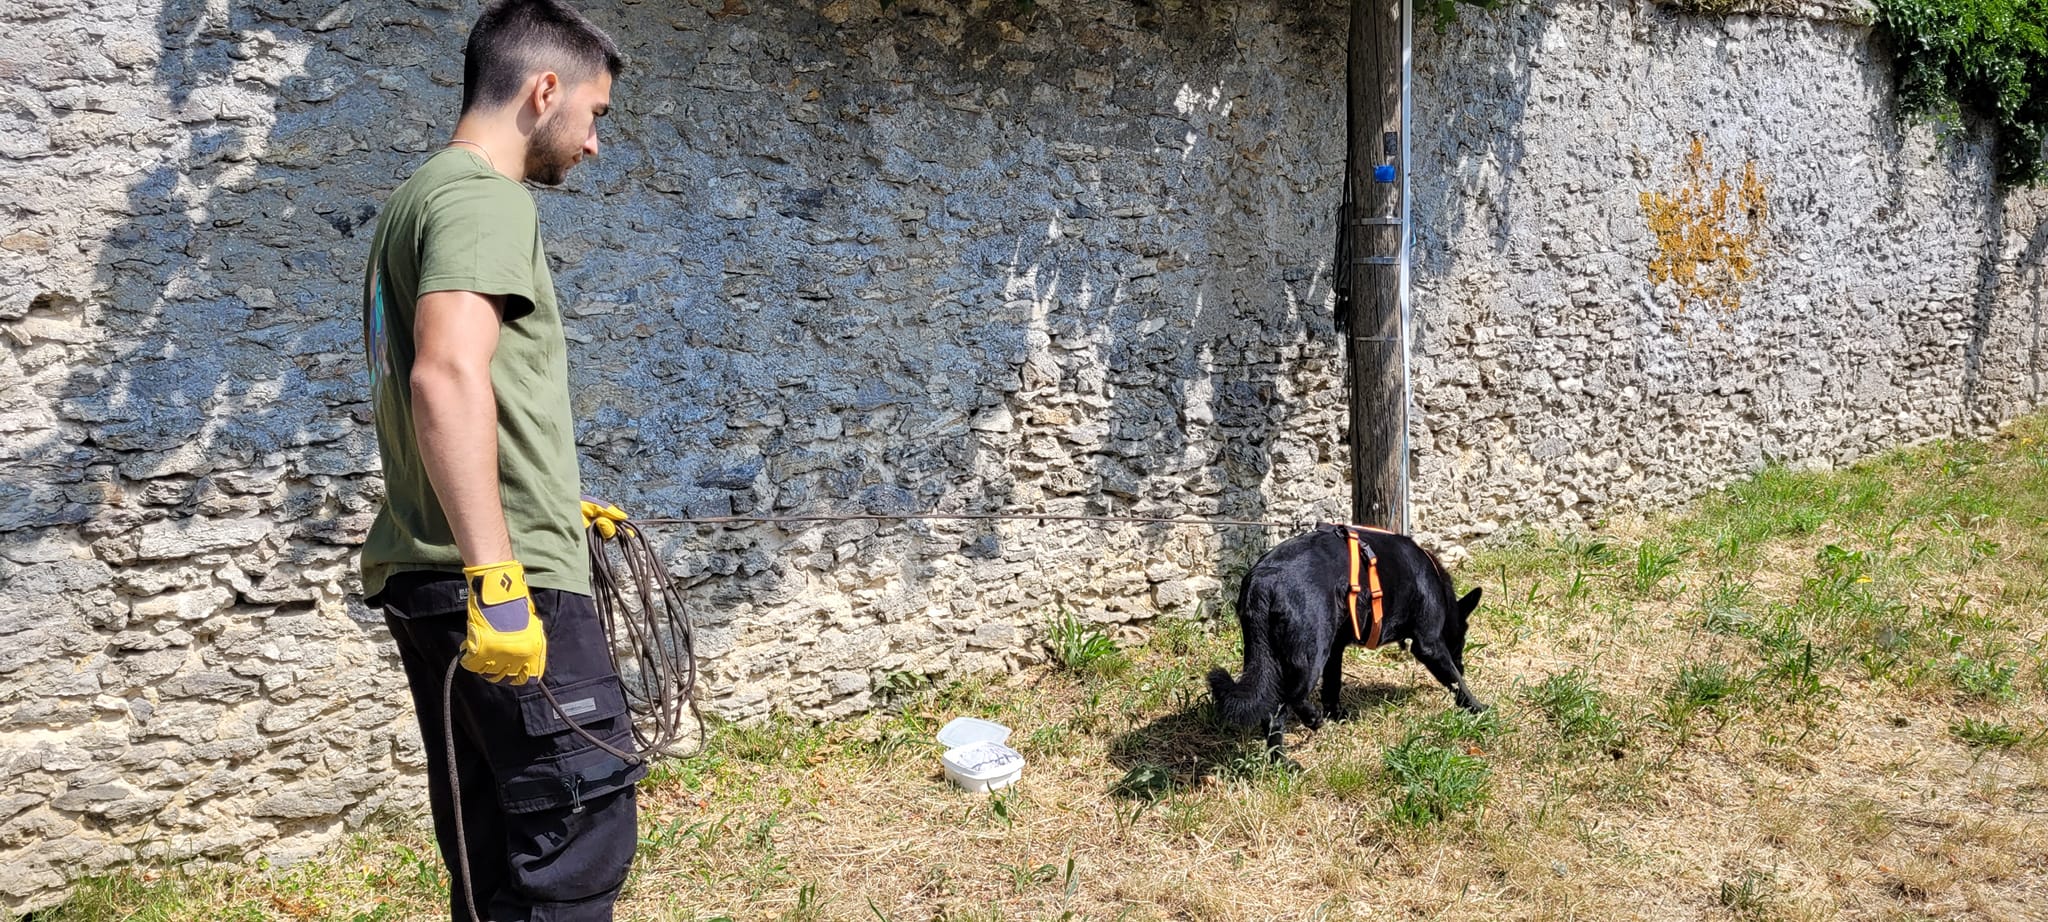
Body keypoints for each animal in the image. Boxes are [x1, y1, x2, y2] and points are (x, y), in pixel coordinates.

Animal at [1208, 525, 1484, 759]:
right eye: (1463, 636)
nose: (1463, 667)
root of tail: (1262, 582)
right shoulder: (1429, 645)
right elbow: (1457, 683)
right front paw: (1479, 708)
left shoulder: (1336, 649)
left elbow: (1333, 684)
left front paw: (1337, 714)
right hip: (1311, 653)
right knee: (1290, 698)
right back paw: (1299, 740)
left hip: (1270, 656)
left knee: (1273, 704)